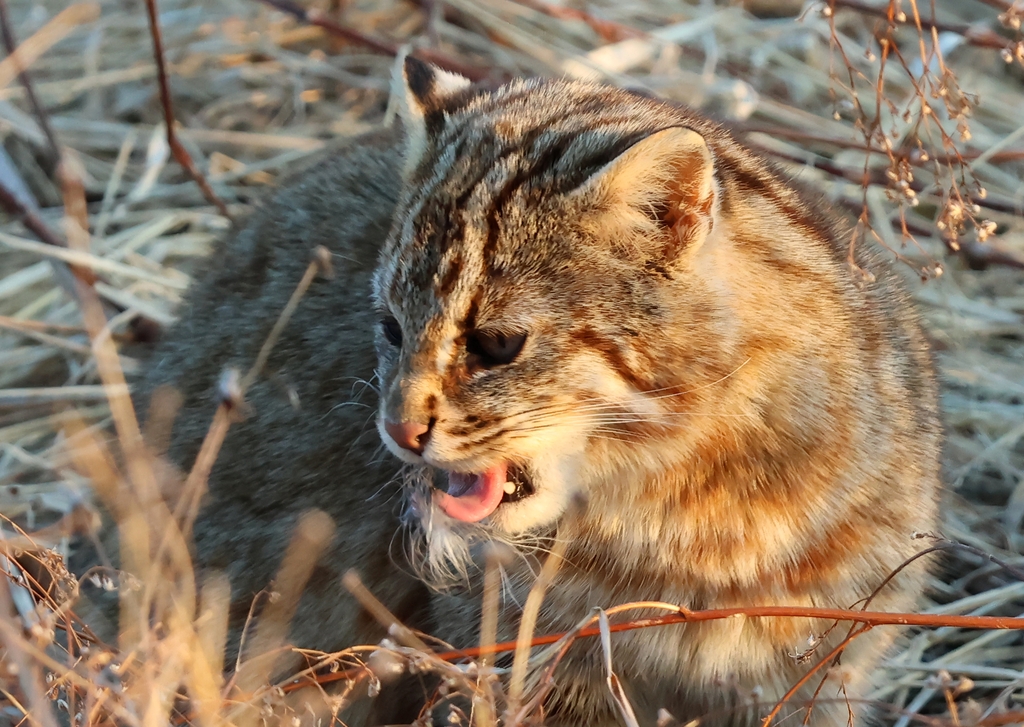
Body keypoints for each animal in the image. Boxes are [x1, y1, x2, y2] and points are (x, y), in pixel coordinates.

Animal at [92, 59, 937, 724]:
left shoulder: (819, 668)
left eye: (497, 344)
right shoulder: (522, 658)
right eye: (390, 326)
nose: (397, 432)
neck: (690, 504)